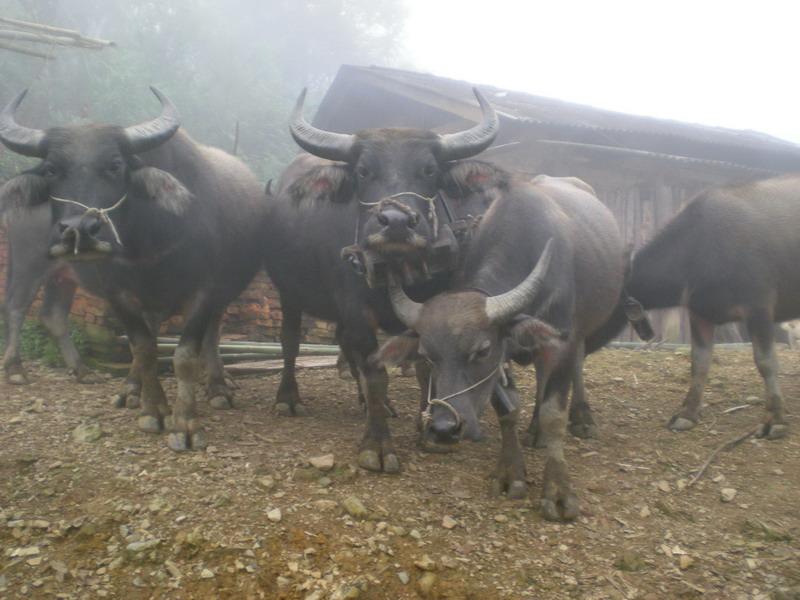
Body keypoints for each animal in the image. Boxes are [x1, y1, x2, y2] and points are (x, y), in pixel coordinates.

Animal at [0, 86, 268, 448]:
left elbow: (184, 354)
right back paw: (19, 370)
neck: (150, 240)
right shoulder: (117, 292)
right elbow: (142, 347)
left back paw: (85, 372)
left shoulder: (205, 289)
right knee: (17, 307)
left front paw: (186, 423)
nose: (77, 231)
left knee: (51, 315)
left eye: (115, 165)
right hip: (31, 262)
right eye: (51, 170)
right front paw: (153, 410)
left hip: (63, 276)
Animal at [376, 170, 624, 520]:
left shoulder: (559, 341)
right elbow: (507, 409)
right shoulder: (504, 358)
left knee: (576, 365)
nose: (443, 428)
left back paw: (583, 418)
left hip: (581, 330)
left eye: (481, 350)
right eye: (427, 355)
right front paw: (511, 473)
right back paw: (533, 431)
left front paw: (558, 491)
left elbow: (554, 415)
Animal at [584, 176, 796, 438]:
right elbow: (699, 363)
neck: (699, 250)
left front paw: (775, 419)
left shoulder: (759, 307)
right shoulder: (699, 313)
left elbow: (766, 362)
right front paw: (687, 414)